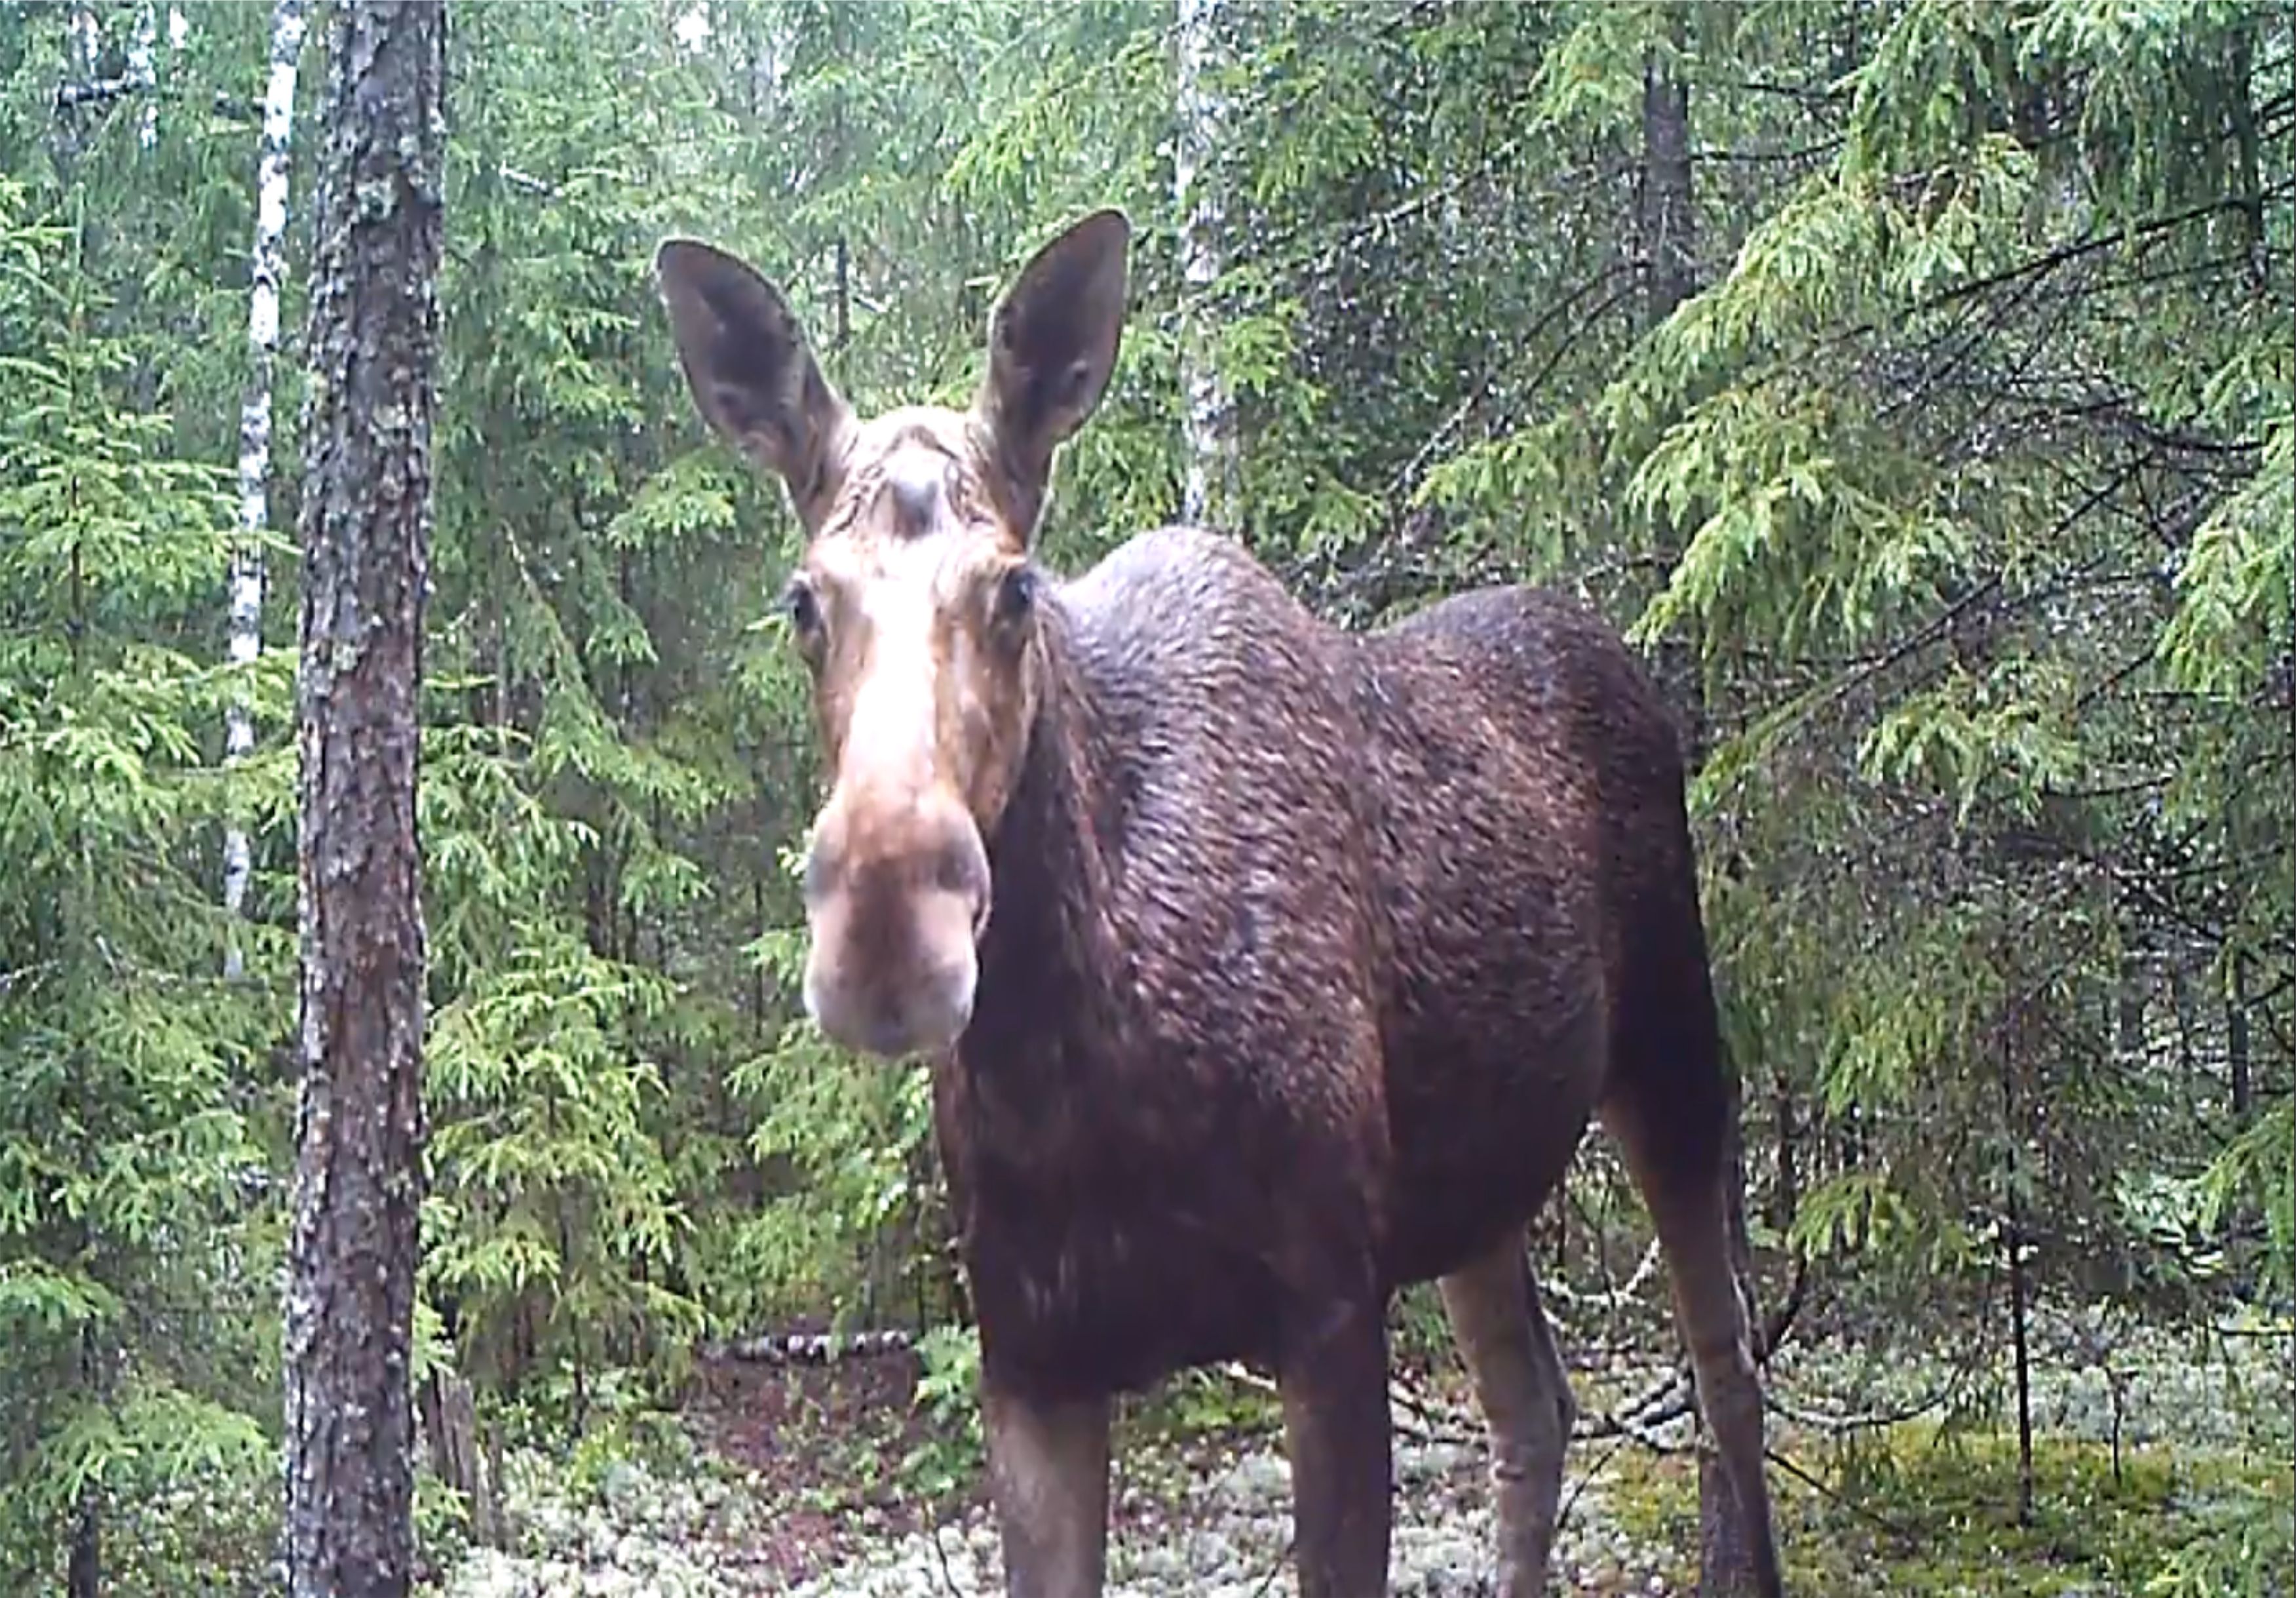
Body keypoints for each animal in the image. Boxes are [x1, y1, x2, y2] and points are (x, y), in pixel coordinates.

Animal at [657, 216, 1782, 1598]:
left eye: (1015, 587)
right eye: (802, 600)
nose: (884, 931)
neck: (1070, 1057)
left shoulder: (1328, 1305)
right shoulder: (1031, 1353)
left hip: (1676, 1052)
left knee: (1727, 1365)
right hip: (1481, 1184)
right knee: (1534, 1402)